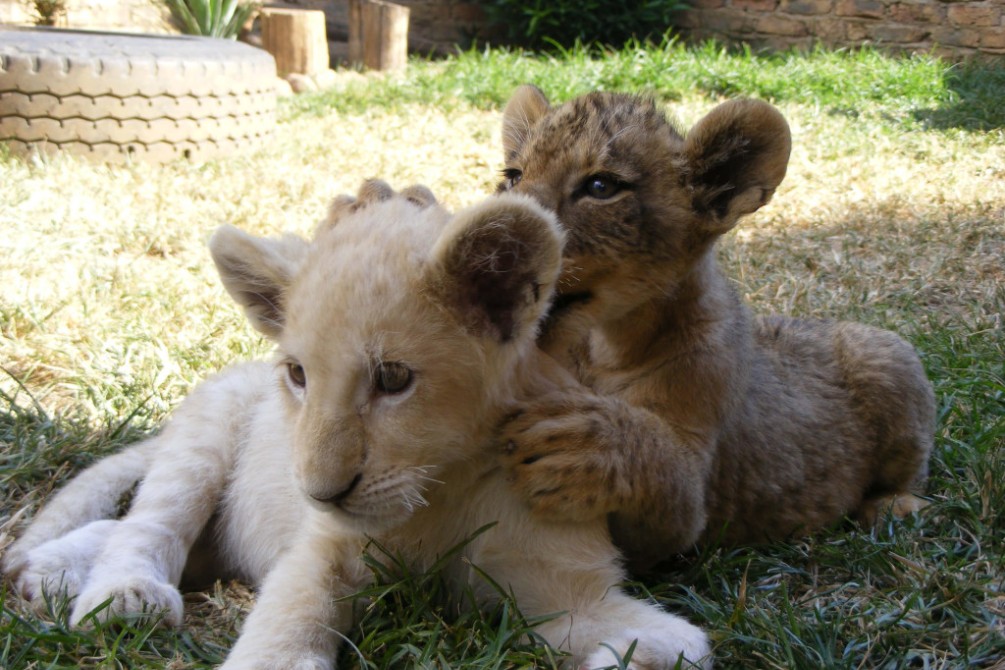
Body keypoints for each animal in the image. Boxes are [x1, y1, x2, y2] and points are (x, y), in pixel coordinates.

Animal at [3, 181, 711, 670]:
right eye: (298, 374)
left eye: (393, 379)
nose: (319, 493)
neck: (441, 487)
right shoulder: (320, 554)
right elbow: (282, 637)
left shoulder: (561, 586)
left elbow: (687, 645)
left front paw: (634, 656)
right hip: (205, 438)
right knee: (150, 522)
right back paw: (117, 594)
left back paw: (49, 572)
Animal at [496, 86, 936, 570]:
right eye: (513, 176)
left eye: (600, 187)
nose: (500, 227)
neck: (599, 348)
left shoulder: (683, 521)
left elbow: (663, 472)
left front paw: (589, 442)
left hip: (886, 354)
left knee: (912, 472)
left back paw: (894, 506)